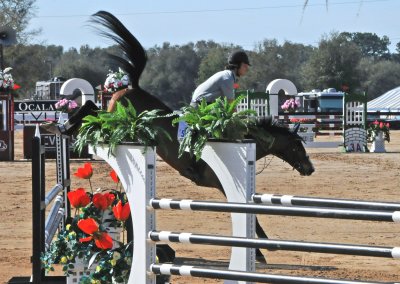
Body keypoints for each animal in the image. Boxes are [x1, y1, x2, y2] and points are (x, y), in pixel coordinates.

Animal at [89, 11, 314, 264]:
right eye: (296, 146)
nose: (310, 168)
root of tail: (131, 87)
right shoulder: (224, 185)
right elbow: (250, 216)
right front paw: (260, 250)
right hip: (116, 122)